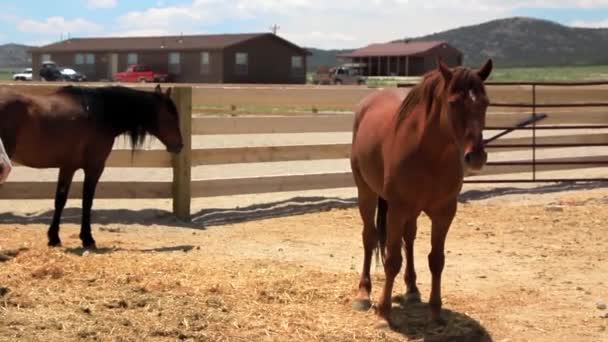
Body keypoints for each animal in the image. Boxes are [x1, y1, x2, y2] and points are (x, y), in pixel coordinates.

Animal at [0, 83, 183, 248]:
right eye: (170, 117)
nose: (179, 146)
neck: (101, 112)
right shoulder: (94, 167)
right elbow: (87, 201)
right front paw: (87, 239)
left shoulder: (68, 167)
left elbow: (60, 200)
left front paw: (54, 238)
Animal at [350, 59, 492, 328]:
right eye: (453, 102)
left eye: (485, 103)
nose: (476, 156)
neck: (429, 155)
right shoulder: (397, 210)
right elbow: (392, 260)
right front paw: (384, 314)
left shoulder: (445, 212)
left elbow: (436, 260)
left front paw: (436, 312)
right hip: (366, 193)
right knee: (369, 237)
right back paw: (363, 294)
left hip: (413, 211)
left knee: (410, 238)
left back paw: (413, 289)